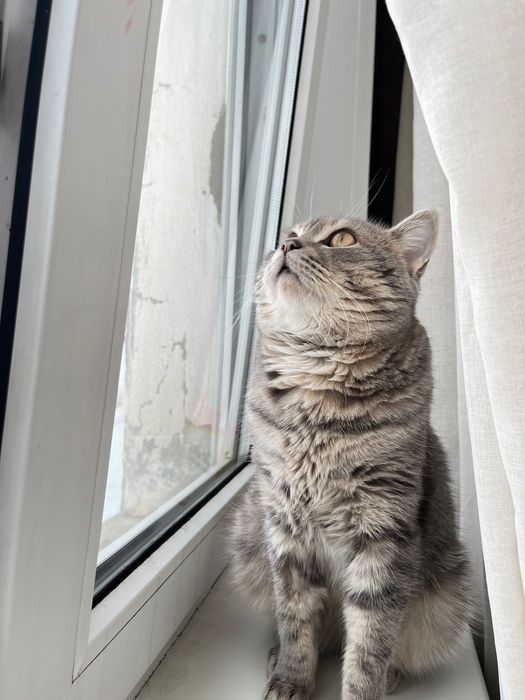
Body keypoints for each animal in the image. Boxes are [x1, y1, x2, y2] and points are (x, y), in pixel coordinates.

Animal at [228, 211, 473, 700]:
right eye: (288, 235)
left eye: (341, 239)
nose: (287, 246)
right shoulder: (284, 526)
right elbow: (294, 618)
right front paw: (291, 678)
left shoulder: (382, 530)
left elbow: (369, 642)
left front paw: (363, 688)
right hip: (248, 533)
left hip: (446, 600)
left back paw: (391, 677)